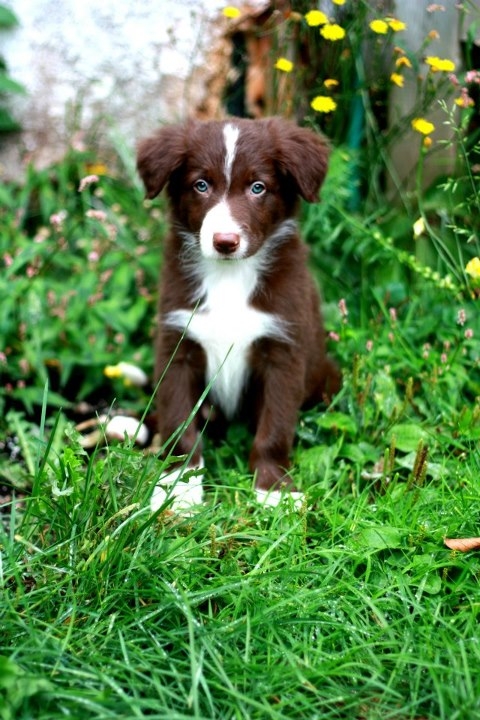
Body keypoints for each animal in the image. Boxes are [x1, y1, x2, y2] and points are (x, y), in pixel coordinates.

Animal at [137, 118, 342, 510]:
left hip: (327, 376)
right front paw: (179, 488)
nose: (225, 241)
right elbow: (178, 422)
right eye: (201, 185)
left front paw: (274, 490)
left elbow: (275, 429)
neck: (229, 276)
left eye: (257, 187)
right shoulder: (177, 343)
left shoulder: (283, 350)